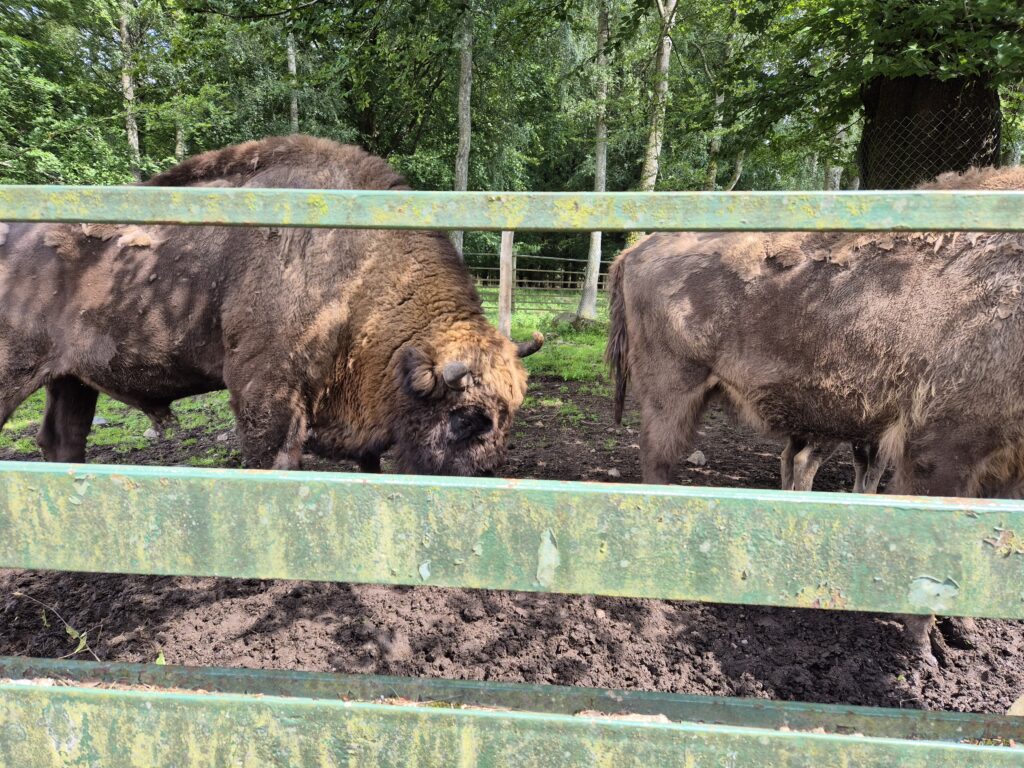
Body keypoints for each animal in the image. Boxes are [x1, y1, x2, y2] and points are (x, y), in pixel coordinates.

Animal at [0, 135, 540, 479]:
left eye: (511, 413)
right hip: (15, 373)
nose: (483, 477)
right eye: (467, 417)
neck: (359, 273)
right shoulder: (266, 389)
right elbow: (274, 461)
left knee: (62, 441)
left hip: (72, 380)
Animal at [606, 167, 1024, 667]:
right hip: (674, 391)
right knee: (659, 463)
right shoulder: (941, 451)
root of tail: (636, 249)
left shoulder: (1003, 467)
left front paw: (966, 629)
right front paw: (924, 649)